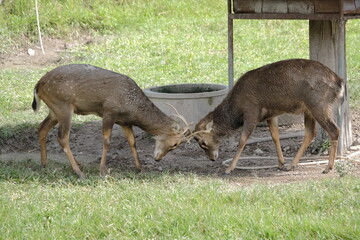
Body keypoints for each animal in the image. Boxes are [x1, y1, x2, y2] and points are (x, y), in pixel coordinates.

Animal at [32, 63, 191, 178]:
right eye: (175, 143)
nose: (158, 159)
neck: (132, 108)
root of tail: (38, 85)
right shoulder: (109, 112)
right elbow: (107, 141)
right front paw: (103, 171)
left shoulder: (124, 122)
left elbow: (132, 141)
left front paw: (140, 168)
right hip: (63, 106)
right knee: (62, 137)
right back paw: (79, 172)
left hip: (54, 110)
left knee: (42, 128)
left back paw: (45, 163)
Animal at [193, 58, 344, 174]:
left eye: (202, 142)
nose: (212, 158)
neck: (236, 109)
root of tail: (340, 83)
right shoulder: (271, 114)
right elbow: (275, 136)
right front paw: (281, 163)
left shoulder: (252, 112)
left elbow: (242, 140)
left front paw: (229, 168)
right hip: (309, 110)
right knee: (310, 133)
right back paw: (291, 165)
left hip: (319, 105)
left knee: (334, 130)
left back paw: (328, 167)